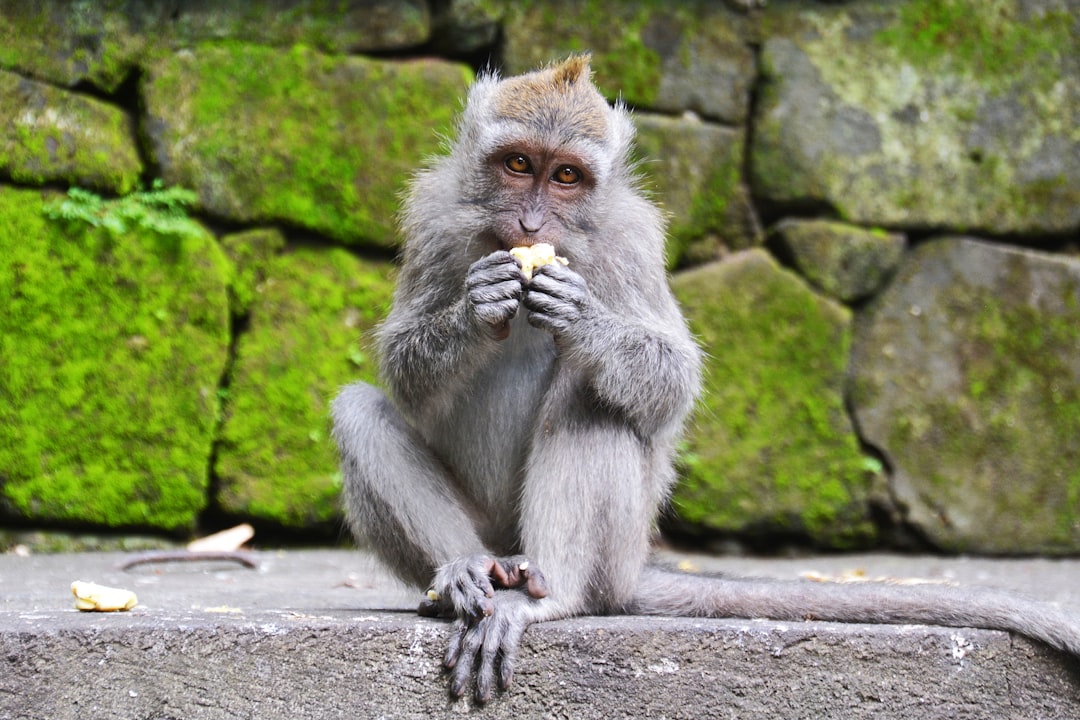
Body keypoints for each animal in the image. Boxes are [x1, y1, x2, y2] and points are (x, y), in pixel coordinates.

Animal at [330, 56, 1080, 703]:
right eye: (518, 164)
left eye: (566, 176)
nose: (532, 221)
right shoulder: (433, 214)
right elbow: (403, 368)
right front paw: (476, 306)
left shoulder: (633, 240)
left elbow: (672, 376)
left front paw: (583, 320)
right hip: (492, 535)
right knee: (360, 412)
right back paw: (460, 573)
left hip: (607, 549)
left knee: (592, 398)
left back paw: (552, 594)